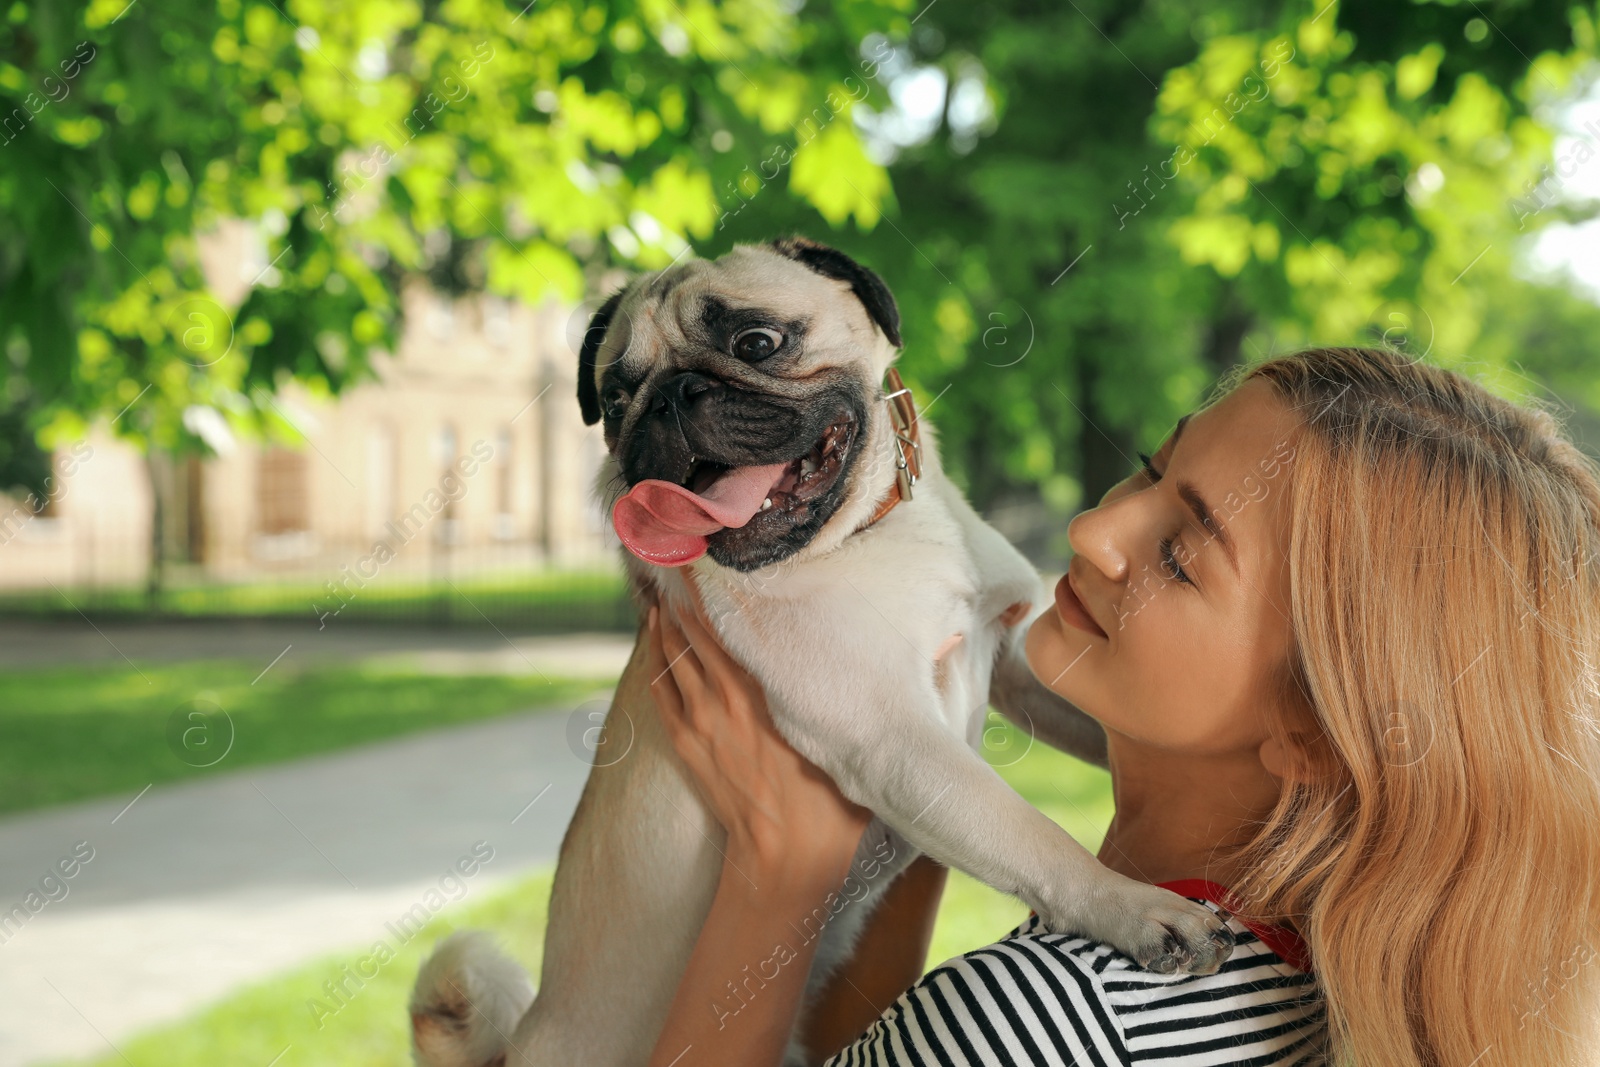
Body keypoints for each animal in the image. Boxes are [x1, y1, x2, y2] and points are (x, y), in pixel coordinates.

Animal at [406, 235, 1228, 1067]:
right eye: (613, 401)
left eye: (756, 342)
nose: (667, 399)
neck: (867, 531)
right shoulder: (895, 738)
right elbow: (1030, 835)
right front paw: (1131, 905)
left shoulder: (1015, 665)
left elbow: (1097, 723)